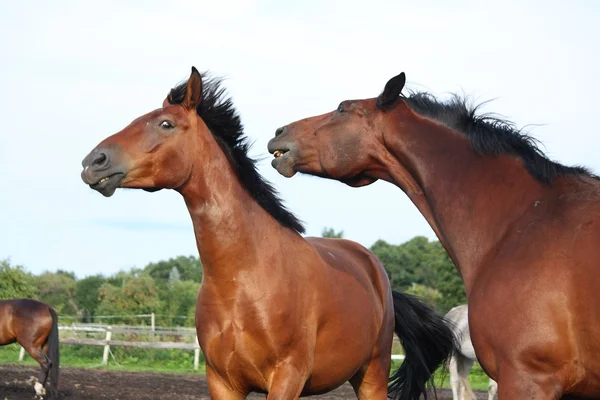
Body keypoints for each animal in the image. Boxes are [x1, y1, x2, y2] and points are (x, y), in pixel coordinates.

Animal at [79, 68, 454, 400]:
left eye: (166, 124)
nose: (93, 162)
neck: (244, 278)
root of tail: (375, 270)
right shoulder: (222, 383)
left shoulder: (288, 377)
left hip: (372, 376)